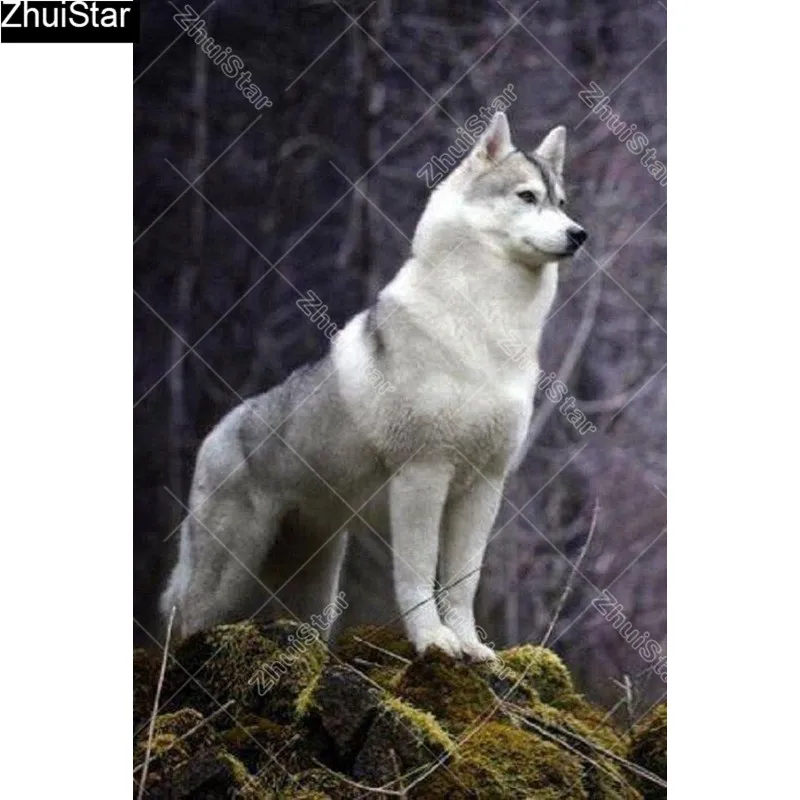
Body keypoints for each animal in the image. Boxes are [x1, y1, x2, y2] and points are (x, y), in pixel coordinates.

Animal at [160, 112, 587, 660]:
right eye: (527, 196)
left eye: (561, 202)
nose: (579, 234)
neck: (486, 328)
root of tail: (216, 431)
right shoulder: (423, 475)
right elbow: (417, 577)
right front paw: (434, 642)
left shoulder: (485, 485)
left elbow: (463, 583)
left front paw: (472, 648)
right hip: (228, 574)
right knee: (185, 622)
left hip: (315, 580)